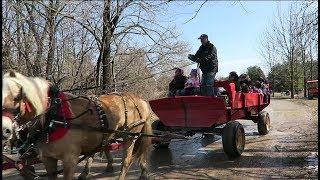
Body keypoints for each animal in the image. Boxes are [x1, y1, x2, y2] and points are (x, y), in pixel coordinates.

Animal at [1, 70, 153, 180]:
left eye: (17, 97)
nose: (5, 130)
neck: (53, 117)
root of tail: (138, 99)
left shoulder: (70, 159)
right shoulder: (48, 159)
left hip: (130, 136)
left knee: (126, 161)